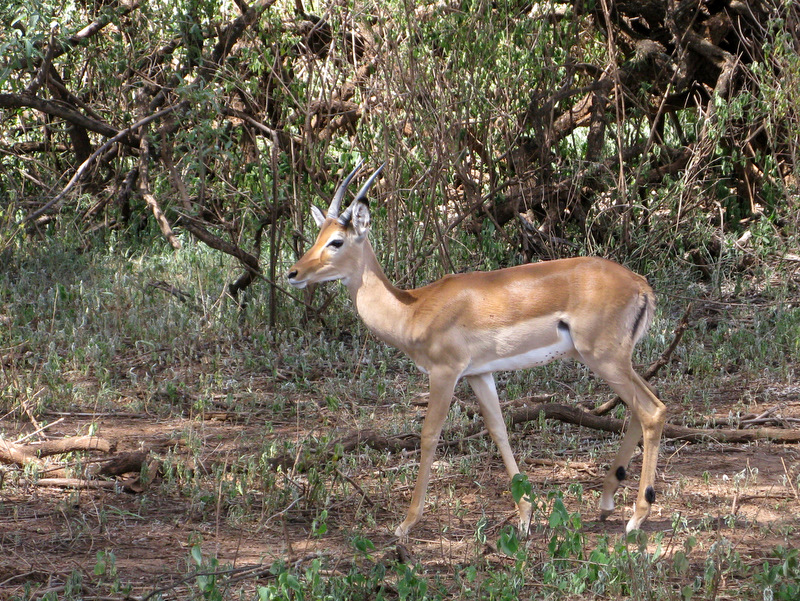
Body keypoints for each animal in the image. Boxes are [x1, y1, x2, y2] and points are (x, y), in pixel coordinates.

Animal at [287, 161, 667, 539]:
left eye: (336, 241)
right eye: (317, 237)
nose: (293, 273)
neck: (413, 309)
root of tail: (641, 285)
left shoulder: (445, 373)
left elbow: (429, 435)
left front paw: (406, 523)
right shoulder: (480, 374)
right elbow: (499, 430)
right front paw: (525, 515)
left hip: (603, 359)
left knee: (652, 411)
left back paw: (637, 516)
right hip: (615, 361)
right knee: (640, 409)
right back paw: (607, 501)